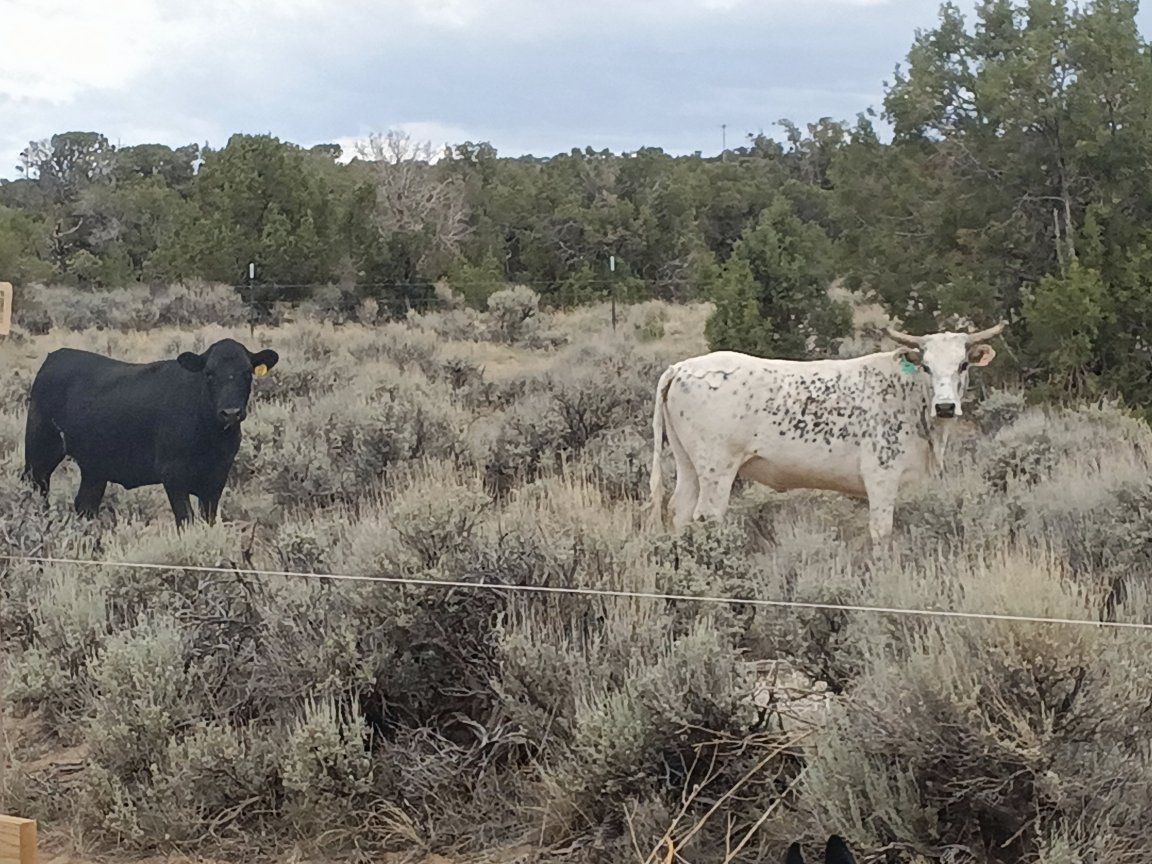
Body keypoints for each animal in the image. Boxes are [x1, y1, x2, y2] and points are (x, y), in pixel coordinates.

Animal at [23, 338, 279, 528]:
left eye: (247, 373)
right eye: (209, 373)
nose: (231, 412)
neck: (211, 437)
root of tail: (56, 355)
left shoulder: (217, 478)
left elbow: (208, 521)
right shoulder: (173, 474)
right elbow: (186, 520)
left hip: (94, 468)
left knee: (85, 506)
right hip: (39, 452)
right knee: (35, 491)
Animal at [647, 323, 1007, 545]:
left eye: (963, 365)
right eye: (927, 366)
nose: (945, 406)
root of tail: (681, 367)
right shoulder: (881, 476)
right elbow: (882, 532)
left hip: (688, 464)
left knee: (679, 510)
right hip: (716, 468)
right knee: (707, 515)